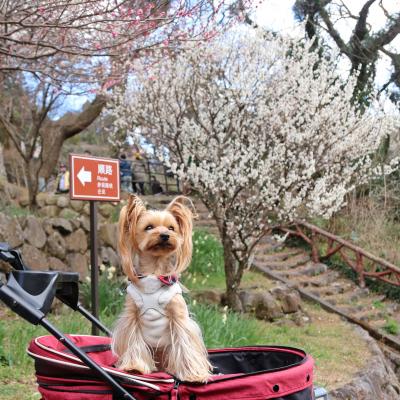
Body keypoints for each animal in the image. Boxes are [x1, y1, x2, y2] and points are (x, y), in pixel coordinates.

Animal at [111, 195, 212, 382]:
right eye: (149, 227)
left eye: (172, 228)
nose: (165, 235)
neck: (154, 273)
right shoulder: (131, 316)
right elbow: (134, 340)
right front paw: (135, 367)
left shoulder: (179, 317)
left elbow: (184, 343)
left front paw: (193, 375)